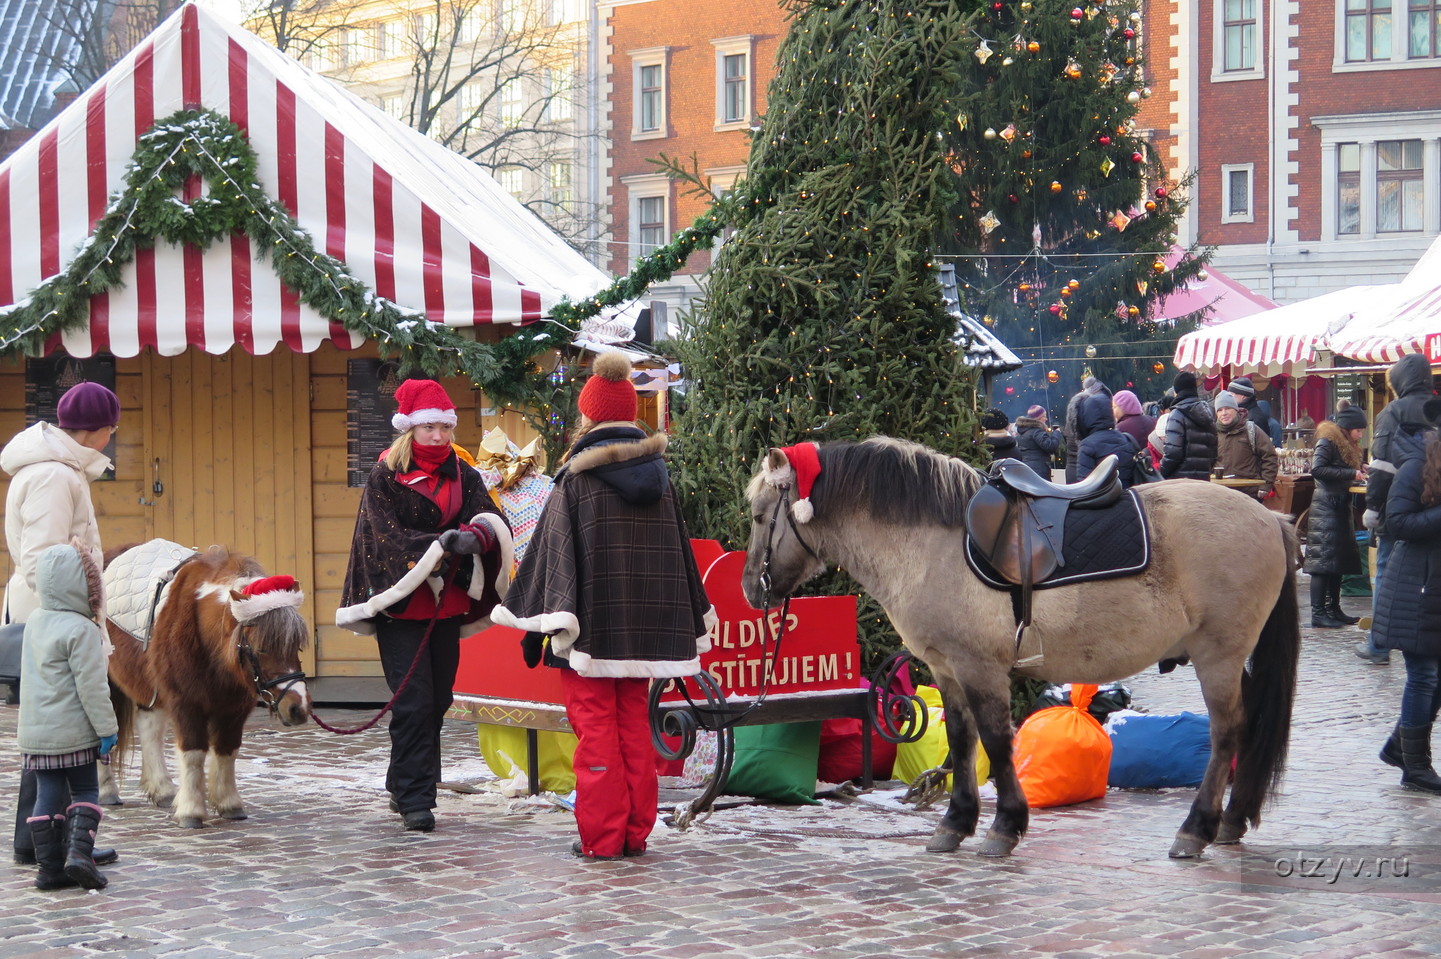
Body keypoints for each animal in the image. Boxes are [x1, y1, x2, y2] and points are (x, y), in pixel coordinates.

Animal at [100, 541, 309, 823]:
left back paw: (163, 790)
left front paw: (229, 804)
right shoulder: (186, 703)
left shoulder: (235, 707)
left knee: (149, 728)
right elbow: (194, 753)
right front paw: (191, 811)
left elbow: (227, 750)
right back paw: (107, 791)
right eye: (261, 648)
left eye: (296, 646)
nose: (298, 708)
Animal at [743, 437, 1308, 852]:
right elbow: (962, 742)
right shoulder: (947, 670)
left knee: (1227, 732)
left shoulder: (980, 668)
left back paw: (1198, 828)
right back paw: (1233, 819)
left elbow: (995, 741)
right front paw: (957, 822)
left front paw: (1005, 825)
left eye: (758, 515)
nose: (751, 589)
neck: (933, 543)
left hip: (1219, 655)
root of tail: (1271, 518)